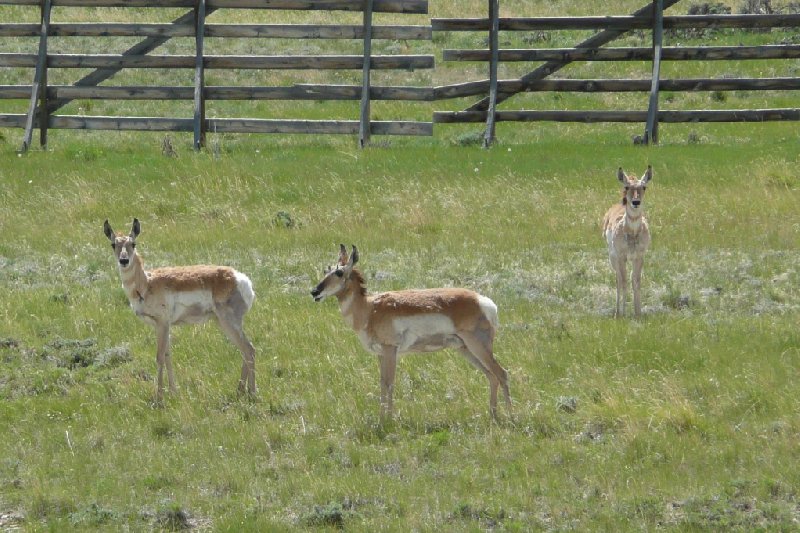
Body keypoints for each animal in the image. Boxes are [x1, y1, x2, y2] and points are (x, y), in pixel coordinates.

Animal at [102, 217, 253, 400]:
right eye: (113, 244)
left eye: (133, 243)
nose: (123, 261)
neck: (147, 284)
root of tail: (240, 278)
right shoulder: (161, 326)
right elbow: (168, 356)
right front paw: (173, 392)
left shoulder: (162, 324)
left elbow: (160, 357)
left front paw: (159, 397)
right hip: (223, 322)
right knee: (245, 351)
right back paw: (240, 391)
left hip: (228, 322)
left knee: (249, 349)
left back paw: (252, 392)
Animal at [310, 244, 510, 420]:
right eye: (326, 270)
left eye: (339, 272)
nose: (314, 291)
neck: (369, 308)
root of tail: (483, 301)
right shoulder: (381, 354)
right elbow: (382, 384)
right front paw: (381, 419)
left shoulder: (390, 350)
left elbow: (389, 383)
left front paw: (388, 420)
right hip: (465, 349)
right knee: (491, 376)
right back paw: (493, 415)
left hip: (477, 347)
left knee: (501, 373)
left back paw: (510, 415)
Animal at [604, 164, 652, 318]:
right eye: (627, 186)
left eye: (644, 187)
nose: (635, 202)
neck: (632, 234)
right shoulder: (621, 257)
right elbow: (624, 281)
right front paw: (623, 313)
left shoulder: (639, 256)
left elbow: (636, 281)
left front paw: (638, 313)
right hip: (612, 258)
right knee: (618, 279)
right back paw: (617, 311)